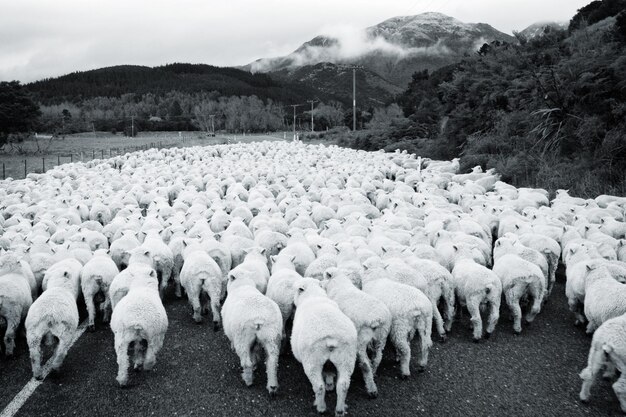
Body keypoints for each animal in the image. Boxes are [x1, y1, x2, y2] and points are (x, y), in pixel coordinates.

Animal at [288, 276, 354, 416]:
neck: (313, 295)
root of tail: (331, 338)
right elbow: (328, 371)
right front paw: (330, 383)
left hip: (312, 361)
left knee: (318, 386)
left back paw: (321, 407)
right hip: (346, 358)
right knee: (343, 385)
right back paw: (340, 410)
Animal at [322, 266, 390, 396]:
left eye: (325, 276)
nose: (320, 283)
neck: (338, 283)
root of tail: (376, 319)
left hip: (361, 340)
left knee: (365, 364)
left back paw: (371, 388)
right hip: (382, 336)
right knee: (378, 357)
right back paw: (373, 373)